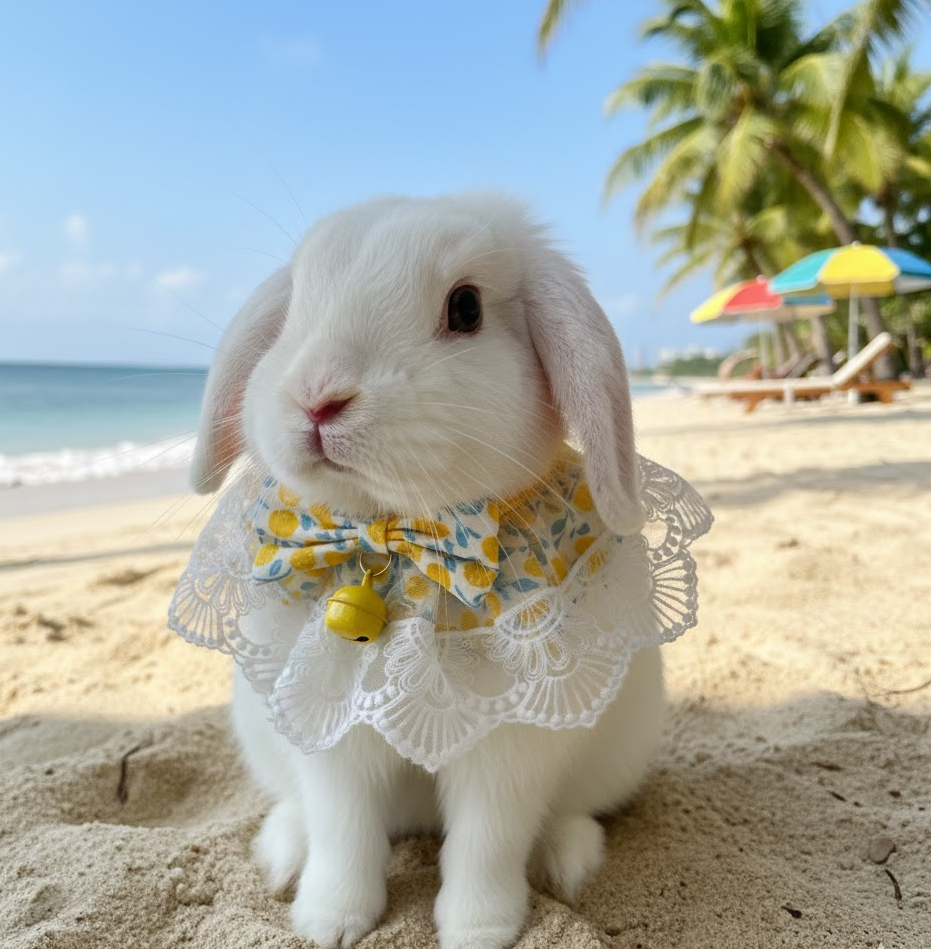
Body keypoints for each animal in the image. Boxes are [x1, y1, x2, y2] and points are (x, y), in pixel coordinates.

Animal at [189, 193, 666, 949]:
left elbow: (487, 841)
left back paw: (568, 858)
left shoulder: (508, 749)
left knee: (562, 815)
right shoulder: (331, 737)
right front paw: (329, 922)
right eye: (294, 306)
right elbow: (343, 830)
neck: (397, 551)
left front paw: (480, 929)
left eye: (465, 307)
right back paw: (281, 852)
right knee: (302, 812)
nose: (316, 396)